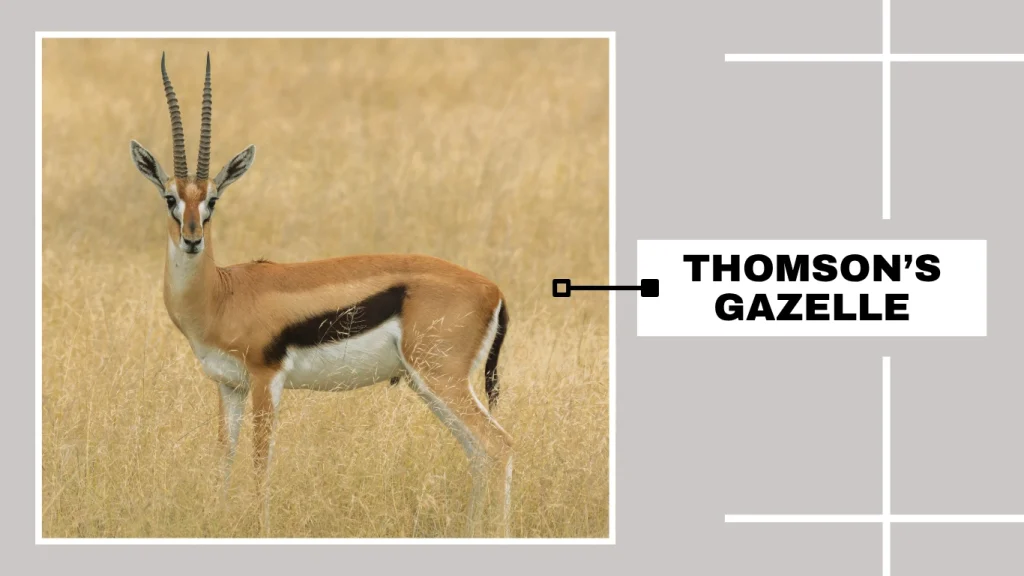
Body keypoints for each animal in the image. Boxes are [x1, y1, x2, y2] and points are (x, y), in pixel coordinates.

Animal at [129, 53, 514, 537]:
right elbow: (224, 459)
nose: (193, 239)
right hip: (429, 384)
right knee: (479, 453)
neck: (221, 294)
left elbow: (260, 462)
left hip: (439, 378)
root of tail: (493, 289)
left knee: (499, 445)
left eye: (213, 199)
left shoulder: (265, 378)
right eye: (169, 198)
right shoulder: (228, 386)